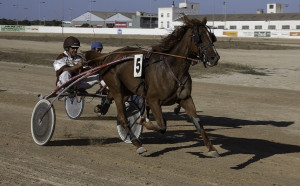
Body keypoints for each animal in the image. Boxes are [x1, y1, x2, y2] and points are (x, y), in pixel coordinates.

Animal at [85, 16, 219, 158]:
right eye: (199, 37)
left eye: (211, 36)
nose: (214, 57)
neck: (172, 69)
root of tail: (108, 56)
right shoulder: (153, 100)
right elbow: (161, 126)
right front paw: (142, 121)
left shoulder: (185, 98)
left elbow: (198, 123)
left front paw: (211, 148)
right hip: (117, 90)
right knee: (122, 118)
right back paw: (137, 144)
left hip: (126, 89)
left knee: (110, 96)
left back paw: (101, 107)